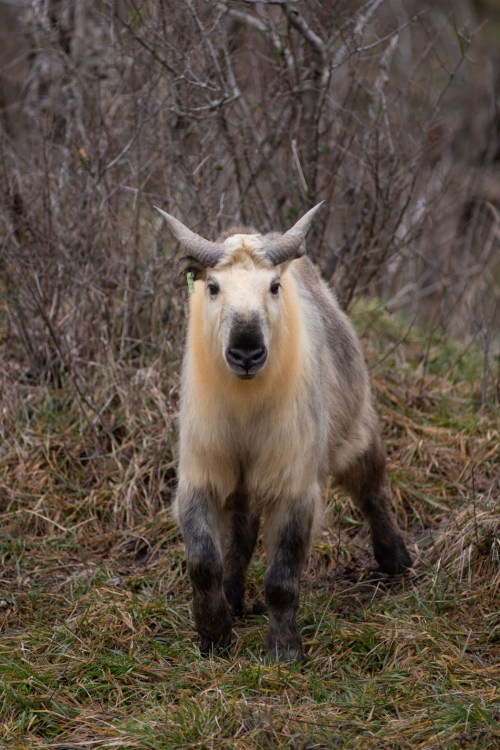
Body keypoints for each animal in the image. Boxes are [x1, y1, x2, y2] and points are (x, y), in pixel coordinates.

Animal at [156, 203, 411, 661]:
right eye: (213, 287)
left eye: (273, 286)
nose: (246, 351)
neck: (245, 406)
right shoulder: (203, 475)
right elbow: (203, 563)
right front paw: (215, 635)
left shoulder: (293, 484)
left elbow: (282, 576)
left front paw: (285, 650)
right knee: (241, 535)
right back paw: (233, 598)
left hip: (357, 431)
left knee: (372, 489)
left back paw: (395, 559)